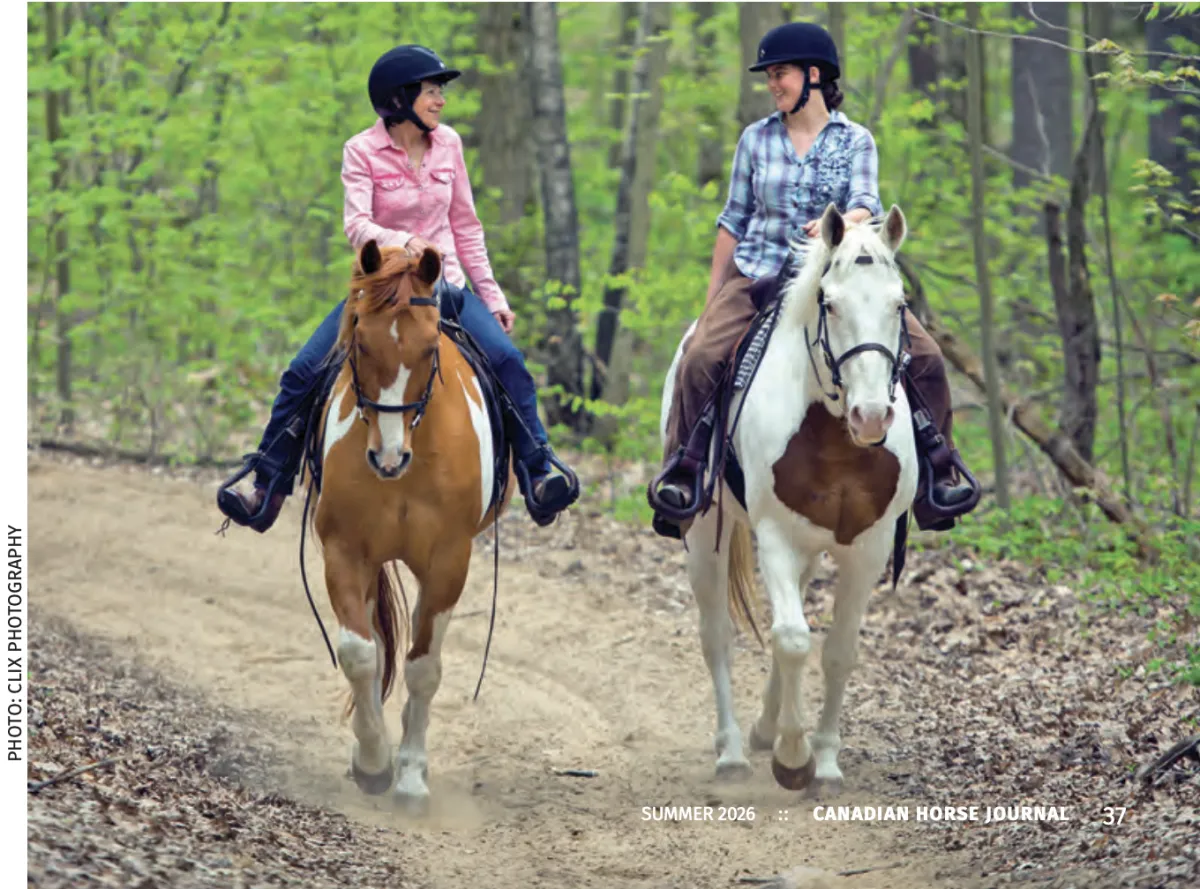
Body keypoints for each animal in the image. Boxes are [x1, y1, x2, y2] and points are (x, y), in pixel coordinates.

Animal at [306, 239, 515, 812]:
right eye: (361, 342)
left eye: (427, 349)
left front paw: (410, 778)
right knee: (378, 647)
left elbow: (423, 669)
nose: (388, 457)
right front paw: (374, 762)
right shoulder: (345, 551)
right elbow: (360, 654)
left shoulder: (449, 560)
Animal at [659, 203, 918, 793]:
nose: (872, 417)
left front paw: (824, 760)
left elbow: (838, 652)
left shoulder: (867, 547)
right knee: (718, 635)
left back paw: (764, 727)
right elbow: (795, 639)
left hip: (809, 548)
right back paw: (733, 752)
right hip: (706, 533)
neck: (835, 437)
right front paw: (794, 758)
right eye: (831, 303)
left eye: (899, 304)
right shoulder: (774, 536)